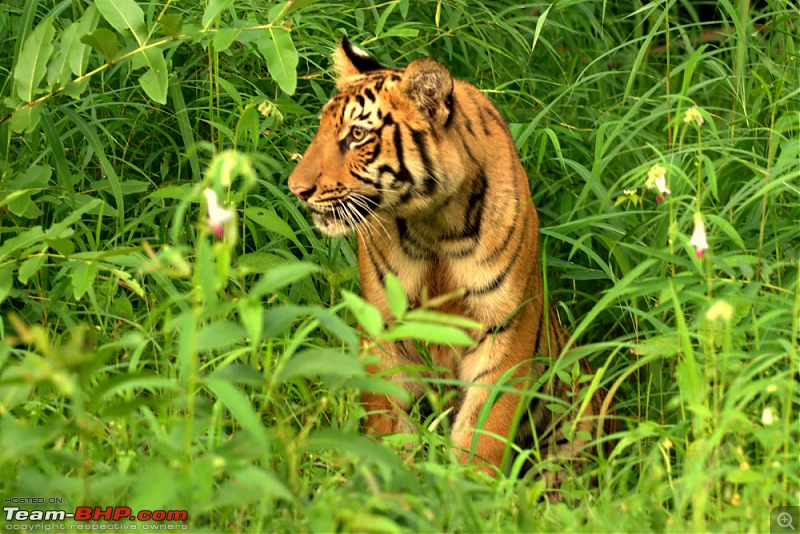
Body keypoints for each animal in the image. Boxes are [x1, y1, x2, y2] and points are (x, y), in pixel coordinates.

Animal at [290, 35, 620, 492]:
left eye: (357, 135)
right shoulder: (384, 327)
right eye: (322, 128)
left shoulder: (506, 328)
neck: (434, 225)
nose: (296, 189)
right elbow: (389, 422)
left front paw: (470, 494)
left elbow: (484, 431)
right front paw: (393, 486)